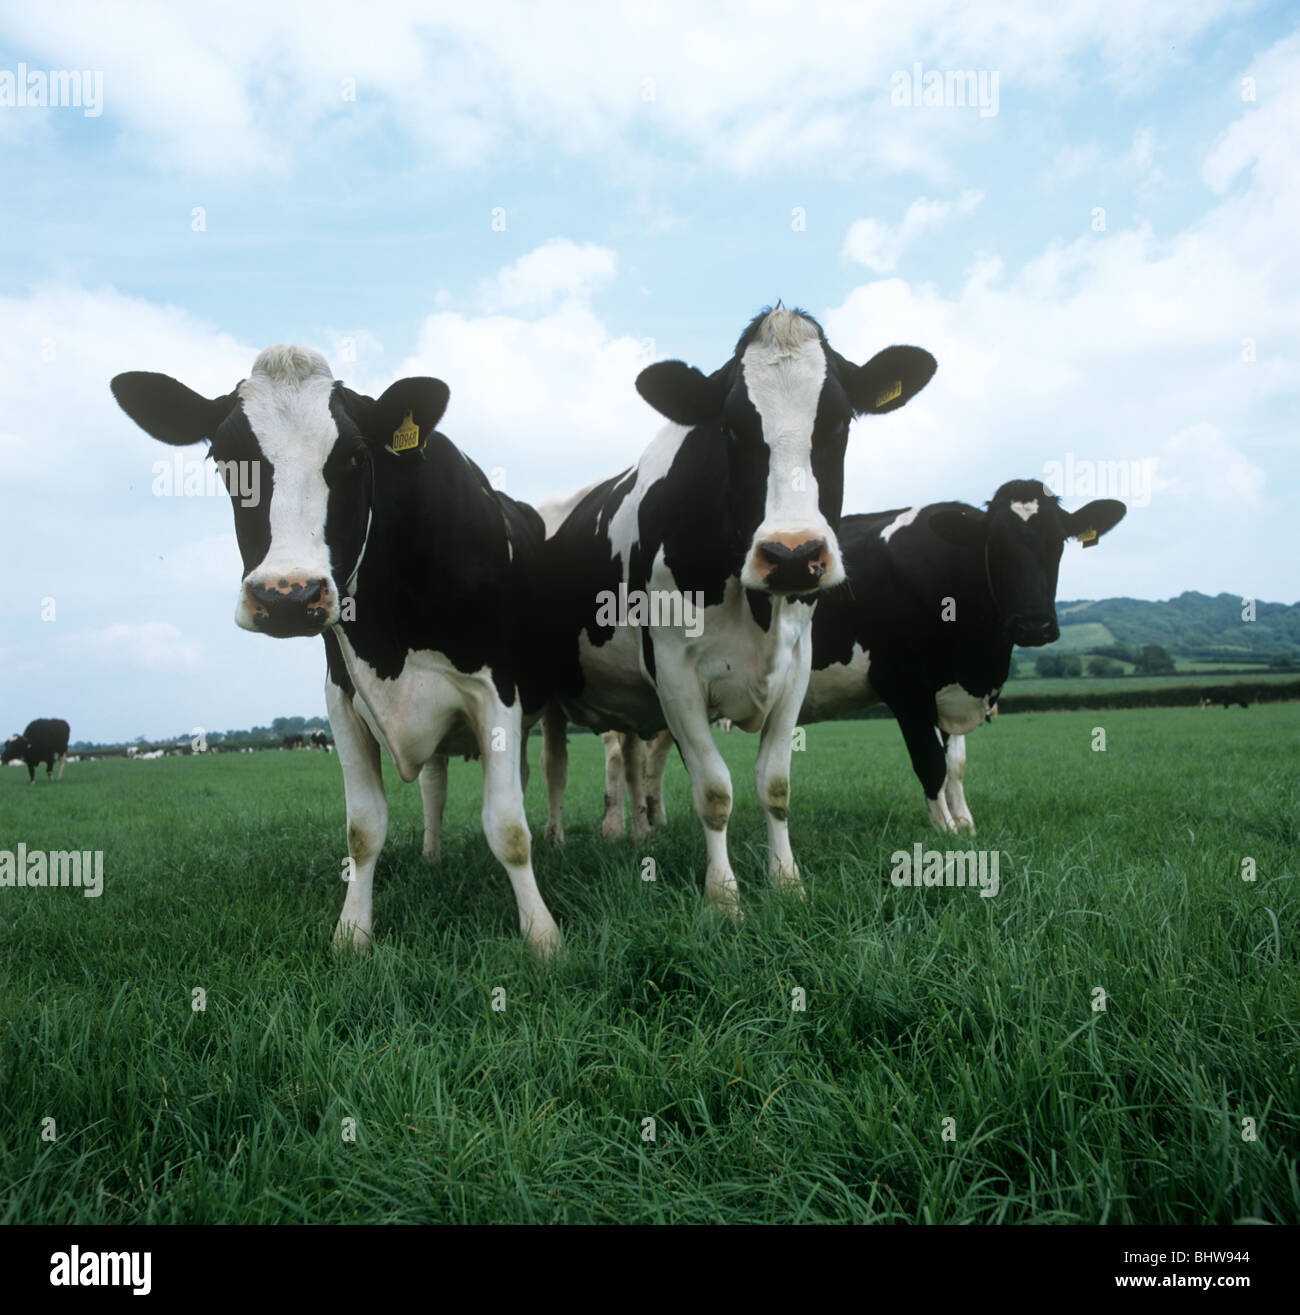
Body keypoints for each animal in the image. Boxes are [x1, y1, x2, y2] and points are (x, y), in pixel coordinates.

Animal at [111, 345, 561, 957]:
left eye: (353, 457)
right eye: (225, 458)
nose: (287, 595)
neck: (390, 635)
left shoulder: (497, 689)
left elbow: (509, 826)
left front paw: (542, 937)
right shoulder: (342, 697)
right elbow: (364, 828)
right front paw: (352, 935)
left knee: (547, 772)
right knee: (435, 785)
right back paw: (433, 856)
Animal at [535, 307, 936, 912]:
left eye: (840, 423)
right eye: (731, 427)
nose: (792, 555)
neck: (755, 612)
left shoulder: (796, 665)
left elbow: (775, 784)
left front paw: (787, 883)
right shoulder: (674, 673)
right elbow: (714, 790)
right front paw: (723, 898)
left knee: (627, 758)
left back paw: (636, 837)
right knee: (554, 766)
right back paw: (556, 840)